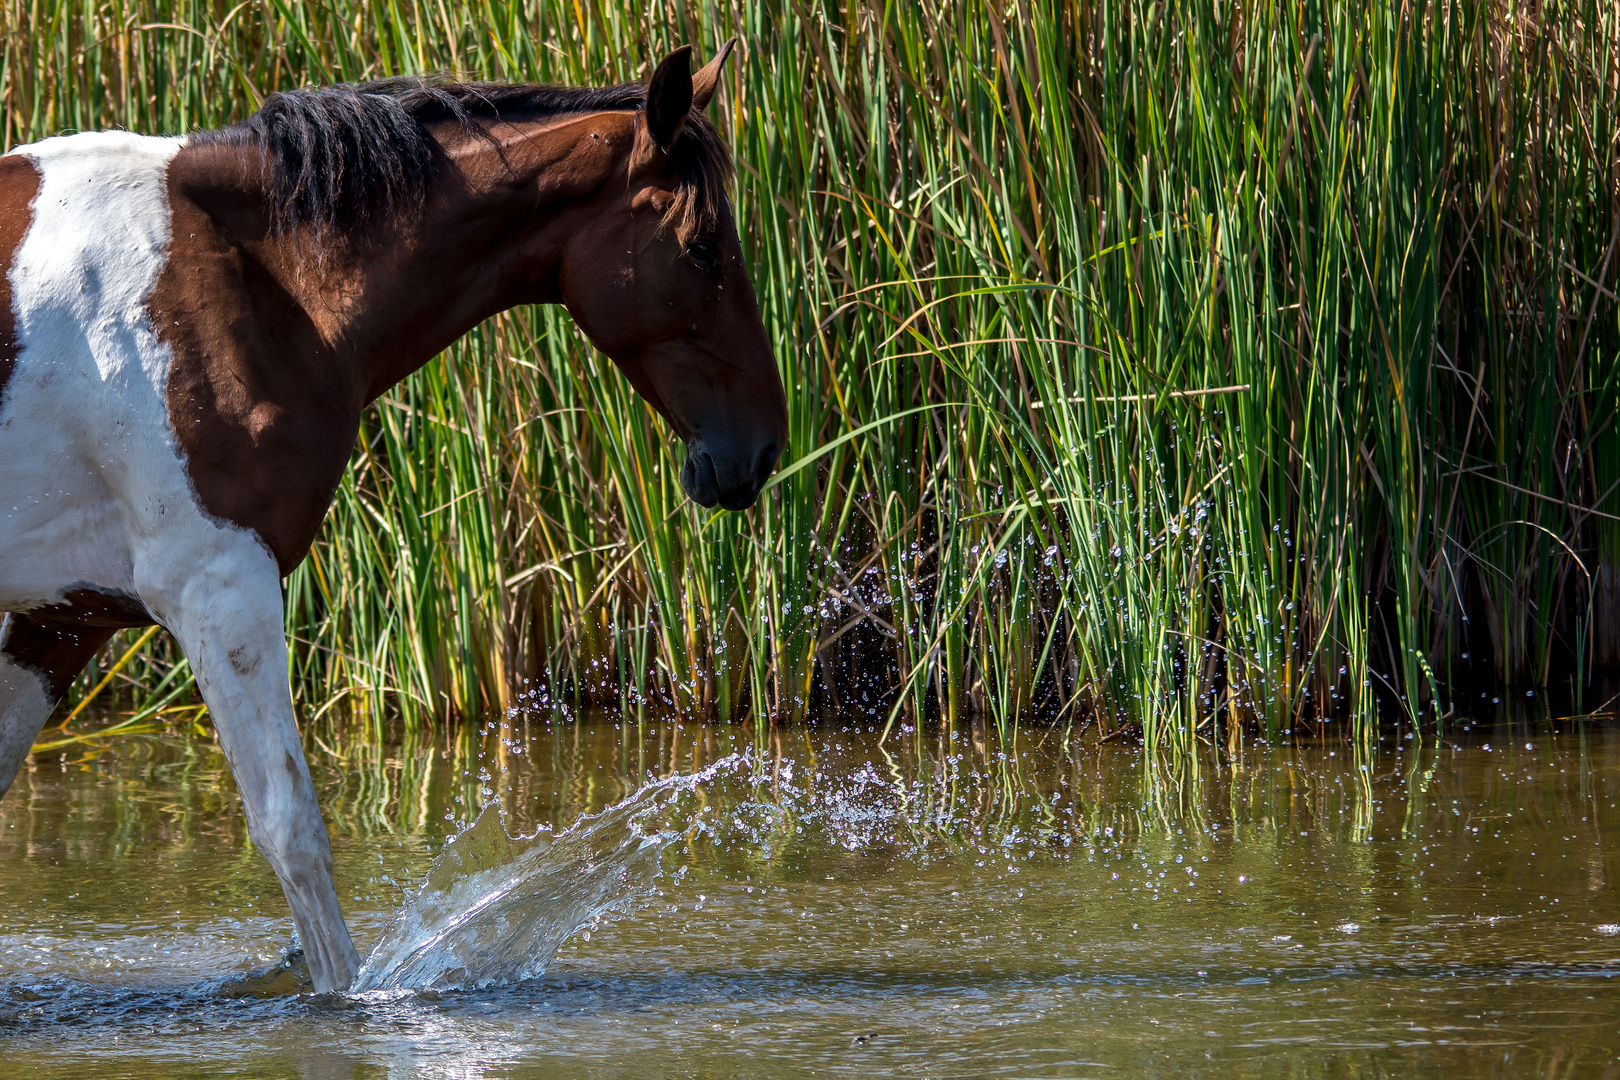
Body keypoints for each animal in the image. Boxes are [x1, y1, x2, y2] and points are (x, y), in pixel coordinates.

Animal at [0, 42, 784, 990]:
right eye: (701, 247)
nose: (762, 447)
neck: (247, 277)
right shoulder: (218, 588)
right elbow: (293, 832)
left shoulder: (60, 616)